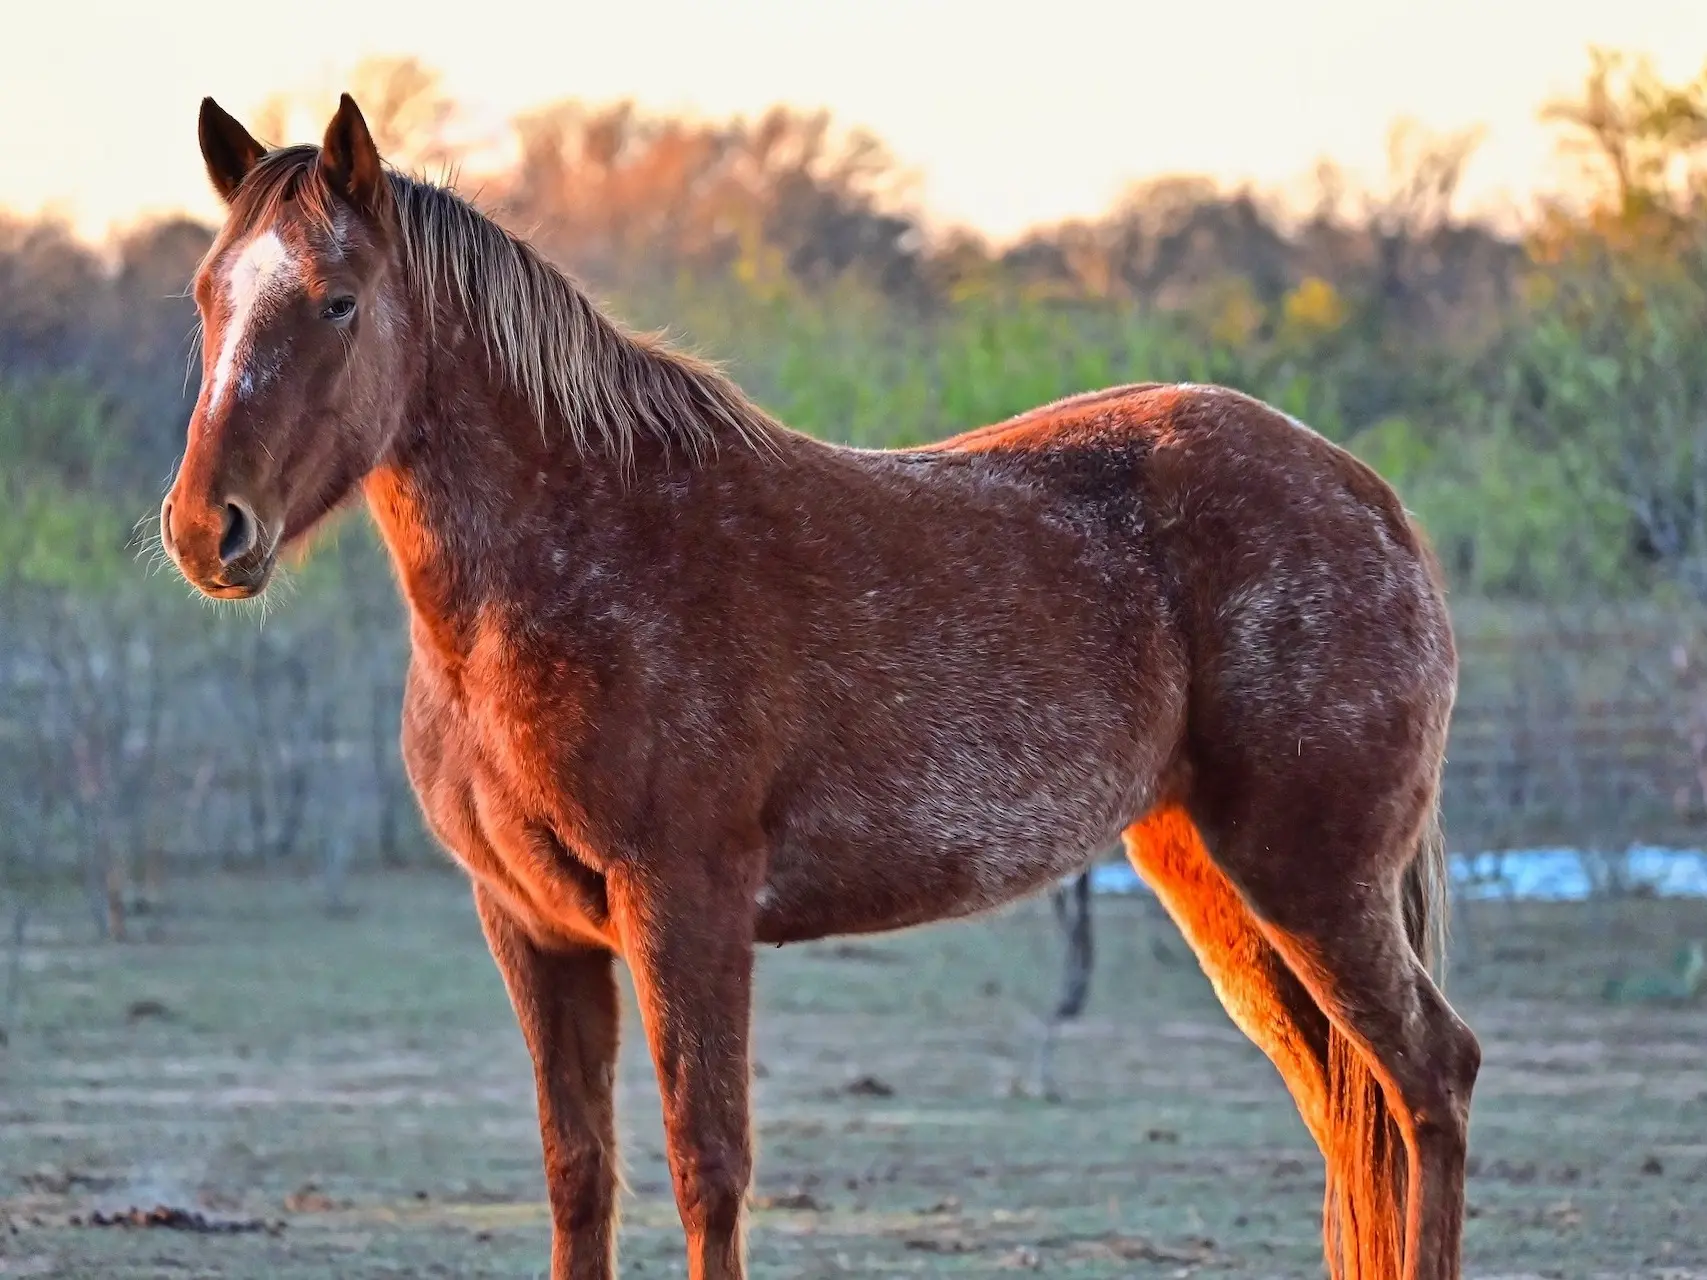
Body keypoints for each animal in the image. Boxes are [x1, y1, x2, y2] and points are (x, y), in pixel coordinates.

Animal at [160, 97, 1481, 1280]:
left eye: (337, 300)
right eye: (209, 296)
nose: (205, 528)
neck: (576, 556)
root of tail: (1368, 495)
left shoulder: (684, 908)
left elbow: (707, 1163)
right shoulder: (531, 926)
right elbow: (578, 1173)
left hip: (1313, 879)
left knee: (1430, 1077)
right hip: (1219, 884)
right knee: (1349, 1102)